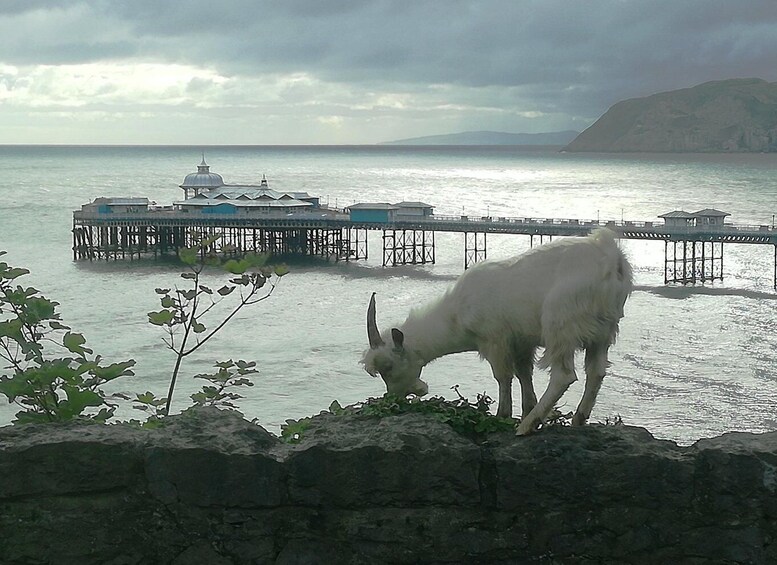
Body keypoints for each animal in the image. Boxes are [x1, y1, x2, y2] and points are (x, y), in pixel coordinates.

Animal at [362, 227, 632, 434]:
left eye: (388, 367)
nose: (394, 398)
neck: (456, 313)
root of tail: (610, 258)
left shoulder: (496, 340)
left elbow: (503, 377)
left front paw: (503, 415)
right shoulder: (523, 342)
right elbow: (524, 374)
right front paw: (526, 406)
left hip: (561, 324)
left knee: (564, 375)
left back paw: (527, 426)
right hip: (604, 331)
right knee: (596, 371)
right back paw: (577, 419)